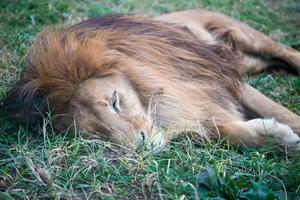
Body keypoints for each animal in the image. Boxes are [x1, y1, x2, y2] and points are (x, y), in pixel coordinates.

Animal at [0, 9, 300, 152]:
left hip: (247, 37)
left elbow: (279, 112)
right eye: (97, 133)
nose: (141, 145)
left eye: (115, 101)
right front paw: (276, 138)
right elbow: (226, 131)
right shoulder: (199, 108)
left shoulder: (220, 79)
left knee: (286, 51)